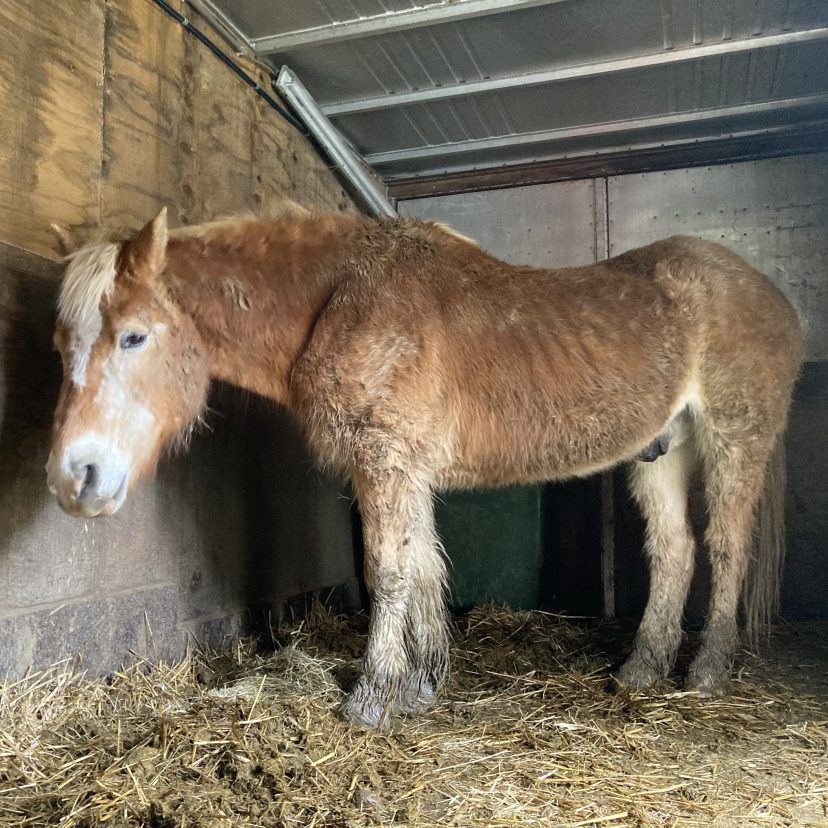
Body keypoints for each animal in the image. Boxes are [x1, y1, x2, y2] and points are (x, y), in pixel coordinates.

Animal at [46, 206, 803, 730]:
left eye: (134, 336)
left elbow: (388, 572)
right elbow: (424, 567)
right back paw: (641, 670)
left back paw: (706, 673)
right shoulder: (400, 471)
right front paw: (420, 687)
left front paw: (371, 700)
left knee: (725, 547)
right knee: (674, 552)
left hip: (733, 439)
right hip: (663, 453)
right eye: (60, 345)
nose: (72, 478)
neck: (343, 298)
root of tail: (778, 301)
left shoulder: (385, 462)